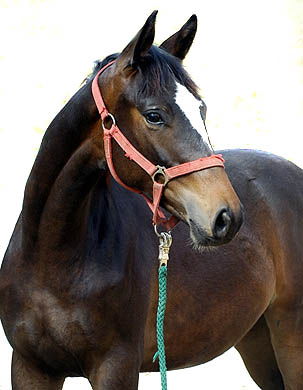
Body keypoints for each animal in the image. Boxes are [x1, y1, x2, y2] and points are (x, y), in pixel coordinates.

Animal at [0, 11, 302, 390]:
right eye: (154, 115)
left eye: (201, 109)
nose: (227, 217)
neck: (53, 258)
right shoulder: (30, 366)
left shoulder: (116, 367)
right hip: (258, 341)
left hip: (290, 336)